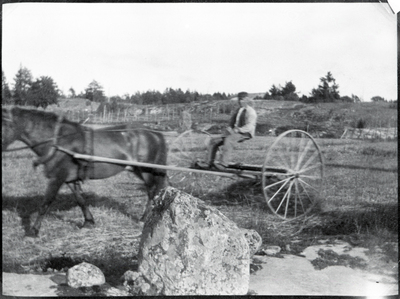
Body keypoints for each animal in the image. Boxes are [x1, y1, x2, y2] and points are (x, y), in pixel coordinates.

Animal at [1, 107, 167, 237]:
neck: (58, 142)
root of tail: (153, 132)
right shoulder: (70, 179)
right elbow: (80, 199)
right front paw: (88, 222)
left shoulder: (57, 178)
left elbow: (45, 203)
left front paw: (33, 231)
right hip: (137, 169)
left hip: (145, 170)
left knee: (152, 191)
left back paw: (144, 218)